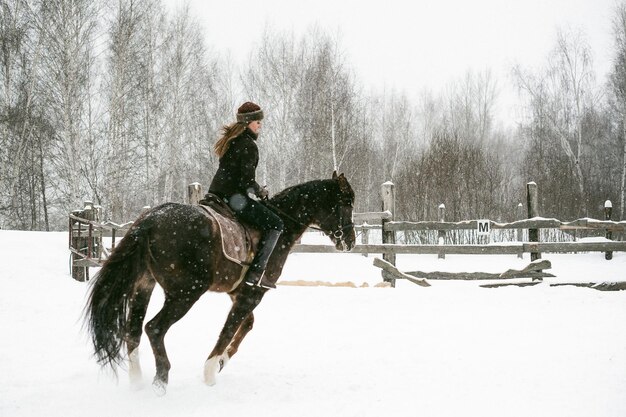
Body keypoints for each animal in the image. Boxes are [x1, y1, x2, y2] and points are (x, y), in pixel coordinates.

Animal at [84, 171, 354, 392]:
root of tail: (151, 219)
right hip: (185, 293)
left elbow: (246, 325)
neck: (283, 226)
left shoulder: (239, 292)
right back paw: (161, 380)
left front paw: (223, 360)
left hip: (144, 286)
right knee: (155, 328)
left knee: (133, 332)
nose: (350, 241)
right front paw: (210, 372)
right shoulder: (253, 294)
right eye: (347, 203)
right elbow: (229, 329)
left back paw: (137, 380)